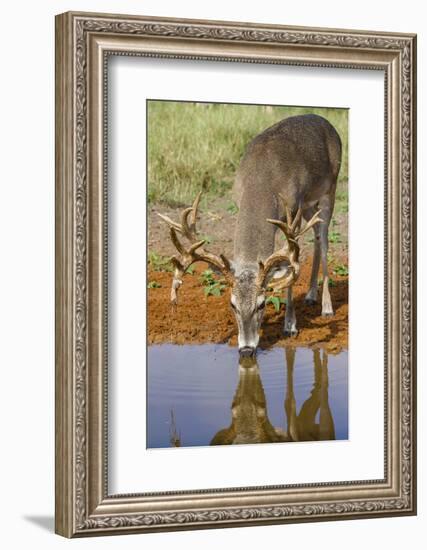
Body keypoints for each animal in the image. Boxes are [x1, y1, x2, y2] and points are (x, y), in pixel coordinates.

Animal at [159, 114, 342, 360]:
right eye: (232, 304)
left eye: (262, 304)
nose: (246, 349)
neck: (262, 181)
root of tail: (326, 121)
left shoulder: (292, 210)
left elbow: (289, 267)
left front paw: (290, 325)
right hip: (309, 206)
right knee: (316, 236)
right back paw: (311, 294)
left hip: (329, 189)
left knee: (324, 239)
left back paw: (326, 307)